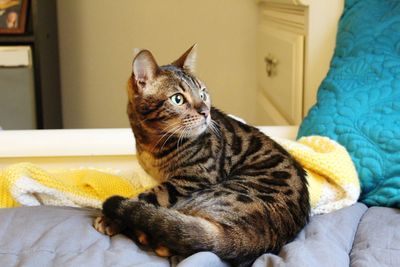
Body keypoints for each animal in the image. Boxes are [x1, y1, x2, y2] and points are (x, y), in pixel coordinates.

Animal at [94, 45, 310, 266]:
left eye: (203, 93)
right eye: (178, 99)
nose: (206, 112)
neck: (151, 144)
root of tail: (264, 233)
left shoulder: (190, 179)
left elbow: (146, 196)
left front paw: (109, 219)